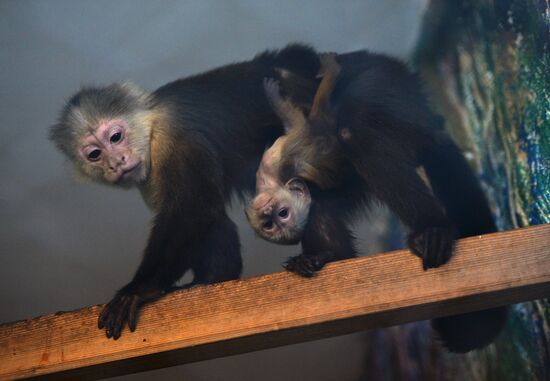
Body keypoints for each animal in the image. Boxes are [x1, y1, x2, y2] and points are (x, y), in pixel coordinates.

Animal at [246, 55, 508, 352]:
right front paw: (319, 258)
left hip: (394, 83)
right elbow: (324, 219)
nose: (271, 215)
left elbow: (305, 124)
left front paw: (280, 92)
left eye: (282, 213)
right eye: (269, 225)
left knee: (360, 132)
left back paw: (433, 228)